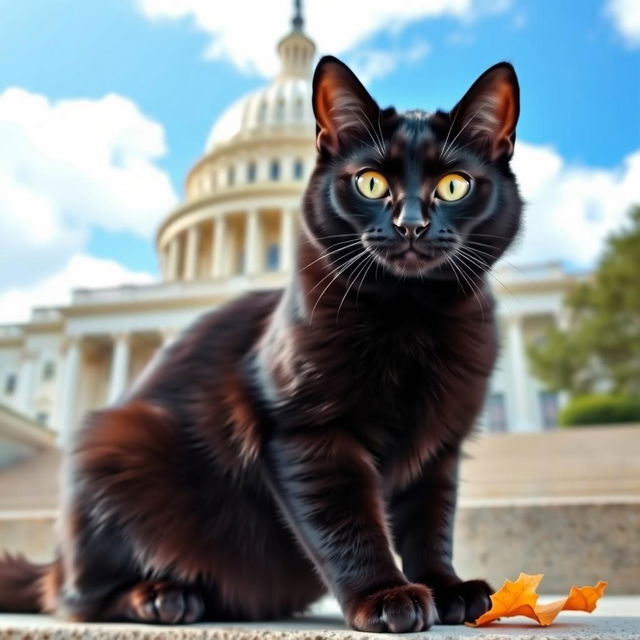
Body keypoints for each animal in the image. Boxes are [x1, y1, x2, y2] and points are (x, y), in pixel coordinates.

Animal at [0, 56, 520, 636]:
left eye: (454, 186)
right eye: (370, 182)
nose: (411, 225)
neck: (412, 314)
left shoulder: (440, 444)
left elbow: (431, 523)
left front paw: (446, 587)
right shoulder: (303, 431)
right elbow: (346, 522)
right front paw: (383, 596)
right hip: (117, 447)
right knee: (75, 597)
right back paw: (159, 596)